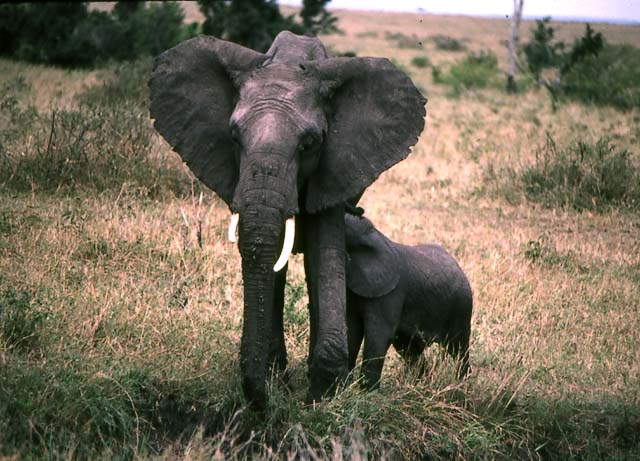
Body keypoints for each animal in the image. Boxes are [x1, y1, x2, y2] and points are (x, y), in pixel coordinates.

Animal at [149, 31, 426, 409]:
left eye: (309, 143)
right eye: (233, 136)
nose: (263, 406)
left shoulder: (334, 167)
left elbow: (325, 255)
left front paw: (321, 396)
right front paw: (280, 383)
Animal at [344, 213, 472, 388]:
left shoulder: (392, 293)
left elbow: (379, 334)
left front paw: (366, 392)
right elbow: (352, 330)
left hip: (462, 308)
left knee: (459, 350)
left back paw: (462, 386)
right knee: (410, 351)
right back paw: (421, 386)